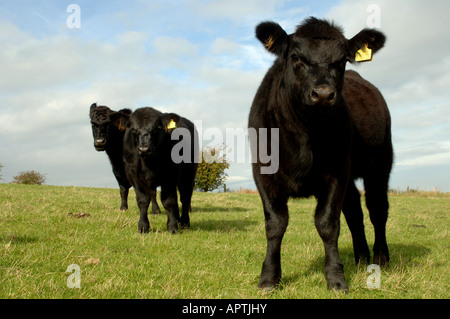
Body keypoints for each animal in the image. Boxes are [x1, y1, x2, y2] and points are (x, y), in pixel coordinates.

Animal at [122, 107, 198, 235]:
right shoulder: (135, 177)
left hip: (188, 176)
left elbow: (168, 201)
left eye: (157, 128)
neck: (149, 163)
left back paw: (184, 222)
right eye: (134, 129)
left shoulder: (170, 176)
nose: (144, 149)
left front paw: (172, 227)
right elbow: (143, 201)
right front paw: (143, 227)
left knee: (185, 197)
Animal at [250, 17, 394, 292]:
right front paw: (269, 277)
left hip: (380, 164)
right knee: (354, 211)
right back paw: (361, 257)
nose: (324, 94)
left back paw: (380, 257)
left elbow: (328, 224)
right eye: (296, 56)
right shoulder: (263, 171)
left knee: (377, 209)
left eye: (342, 60)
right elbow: (275, 224)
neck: (304, 135)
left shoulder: (336, 172)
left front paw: (336, 278)